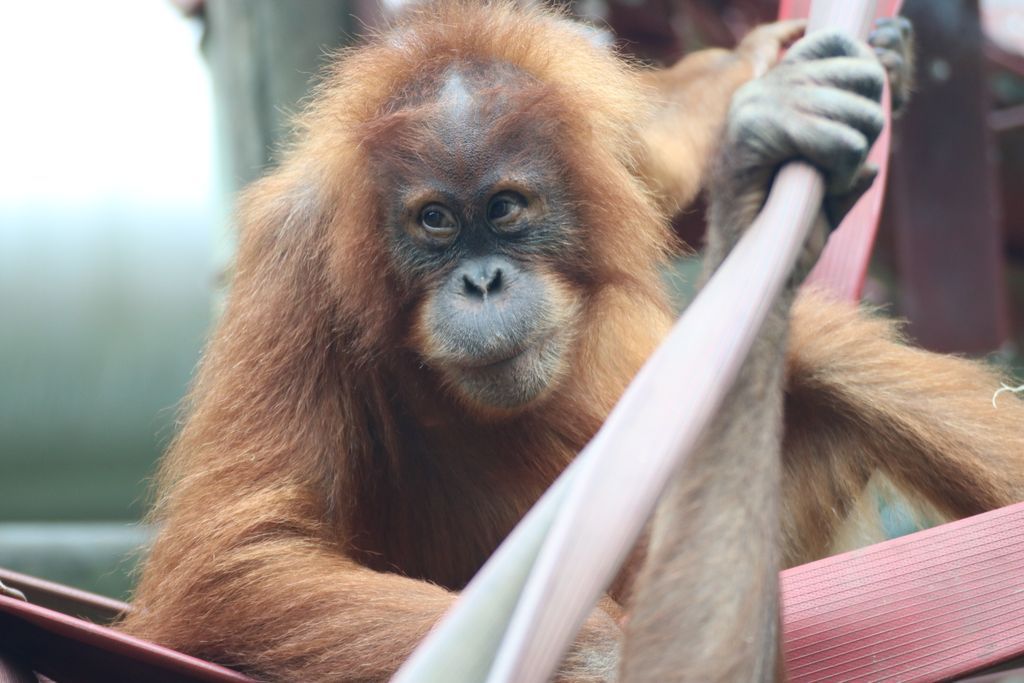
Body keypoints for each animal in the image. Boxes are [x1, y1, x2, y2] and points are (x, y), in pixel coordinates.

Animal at [119, 3, 1023, 682]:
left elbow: (658, 165)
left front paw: (770, 77)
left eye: (506, 207)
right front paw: (603, 656)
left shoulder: (600, 148)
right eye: (434, 220)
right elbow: (243, 555)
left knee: (825, 354)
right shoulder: (294, 264)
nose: (482, 281)